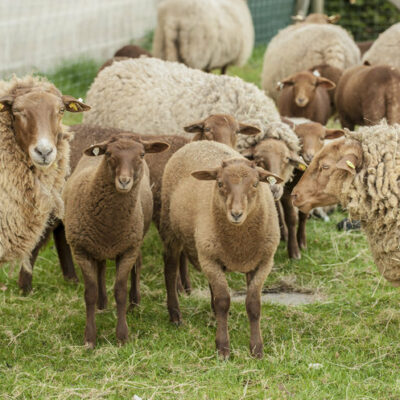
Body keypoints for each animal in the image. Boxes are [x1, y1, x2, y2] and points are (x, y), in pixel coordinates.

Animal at [63, 134, 169, 346]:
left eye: (142, 154)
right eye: (109, 154)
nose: (124, 181)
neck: (109, 226)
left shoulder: (128, 249)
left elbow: (120, 291)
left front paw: (122, 336)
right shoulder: (80, 250)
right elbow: (90, 293)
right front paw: (90, 338)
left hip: (136, 238)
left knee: (137, 266)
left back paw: (134, 303)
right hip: (97, 246)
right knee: (101, 268)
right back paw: (102, 304)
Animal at [159, 141, 282, 360]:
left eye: (255, 184)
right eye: (220, 184)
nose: (236, 214)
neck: (239, 245)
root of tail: (196, 142)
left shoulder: (263, 261)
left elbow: (253, 304)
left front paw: (256, 349)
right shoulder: (209, 258)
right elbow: (223, 301)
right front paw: (223, 348)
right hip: (170, 229)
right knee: (170, 269)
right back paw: (175, 315)